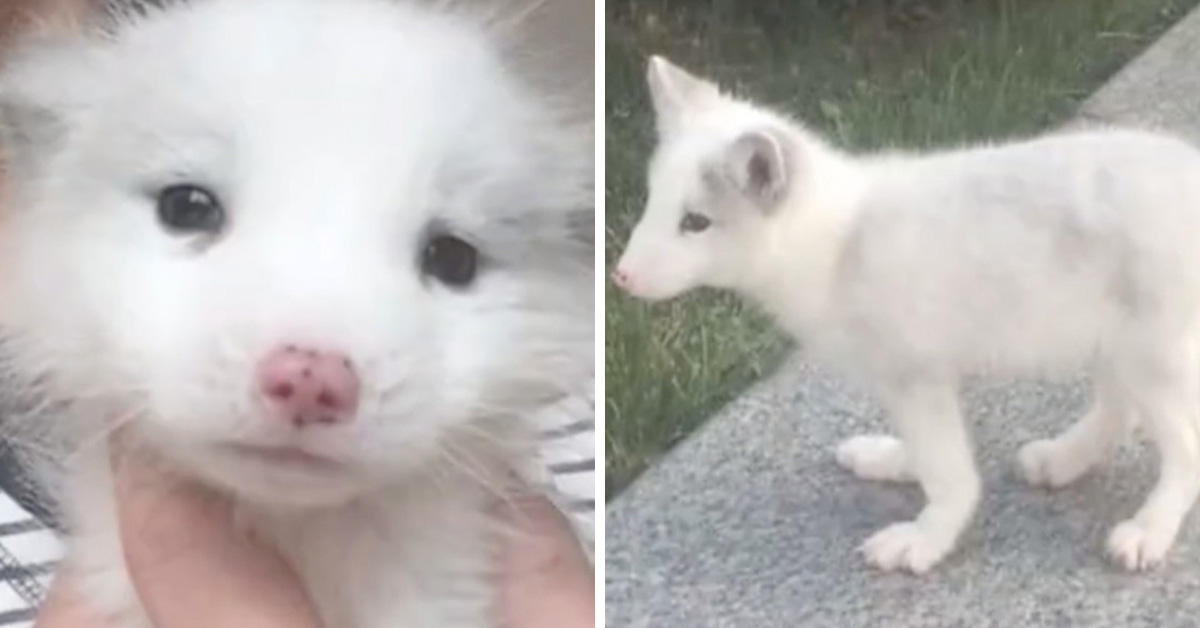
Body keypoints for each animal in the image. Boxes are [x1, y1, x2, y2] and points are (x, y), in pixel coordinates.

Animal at [614, 55, 1200, 574]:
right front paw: (891, 462)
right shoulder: (907, 384)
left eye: (695, 222)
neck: (836, 244)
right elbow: (925, 453)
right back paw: (1064, 458)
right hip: (1111, 343)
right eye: (653, 201)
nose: (620, 277)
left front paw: (926, 538)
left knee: (1186, 450)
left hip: (1150, 356)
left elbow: (950, 475)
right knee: (1119, 410)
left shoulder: (918, 377)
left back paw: (1149, 528)